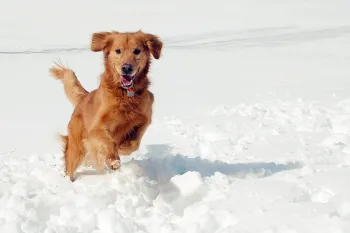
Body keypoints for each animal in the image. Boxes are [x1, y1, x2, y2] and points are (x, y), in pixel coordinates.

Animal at [49, 30, 163, 181]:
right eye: (118, 50)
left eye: (137, 51)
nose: (126, 68)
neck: (125, 94)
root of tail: (83, 98)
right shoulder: (96, 127)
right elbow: (109, 141)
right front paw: (112, 160)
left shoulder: (145, 118)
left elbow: (135, 142)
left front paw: (124, 147)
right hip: (76, 147)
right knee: (70, 167)